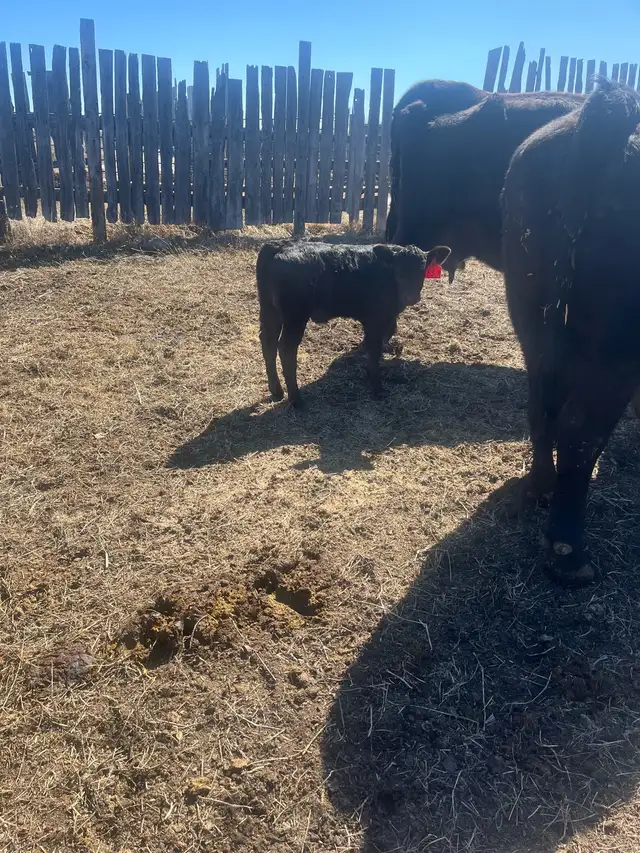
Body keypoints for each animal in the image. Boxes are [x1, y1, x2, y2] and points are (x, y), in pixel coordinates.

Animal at [256, 240, 450, 408]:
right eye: (399, 271)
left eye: (422, 269)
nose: (412, 297)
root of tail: (278, 245)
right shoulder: (375, 319)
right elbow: (374, 350)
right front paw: (377, 388)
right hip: (294, 316)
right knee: (286, 349)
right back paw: (296, 400)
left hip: (270, 310)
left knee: (268, 342)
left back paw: (277, 391)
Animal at [502, 80, 640, 587]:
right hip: (618, 346)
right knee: (581, 428)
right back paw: (569, 558)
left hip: (531, 316)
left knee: (543, 406)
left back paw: (538, 491)